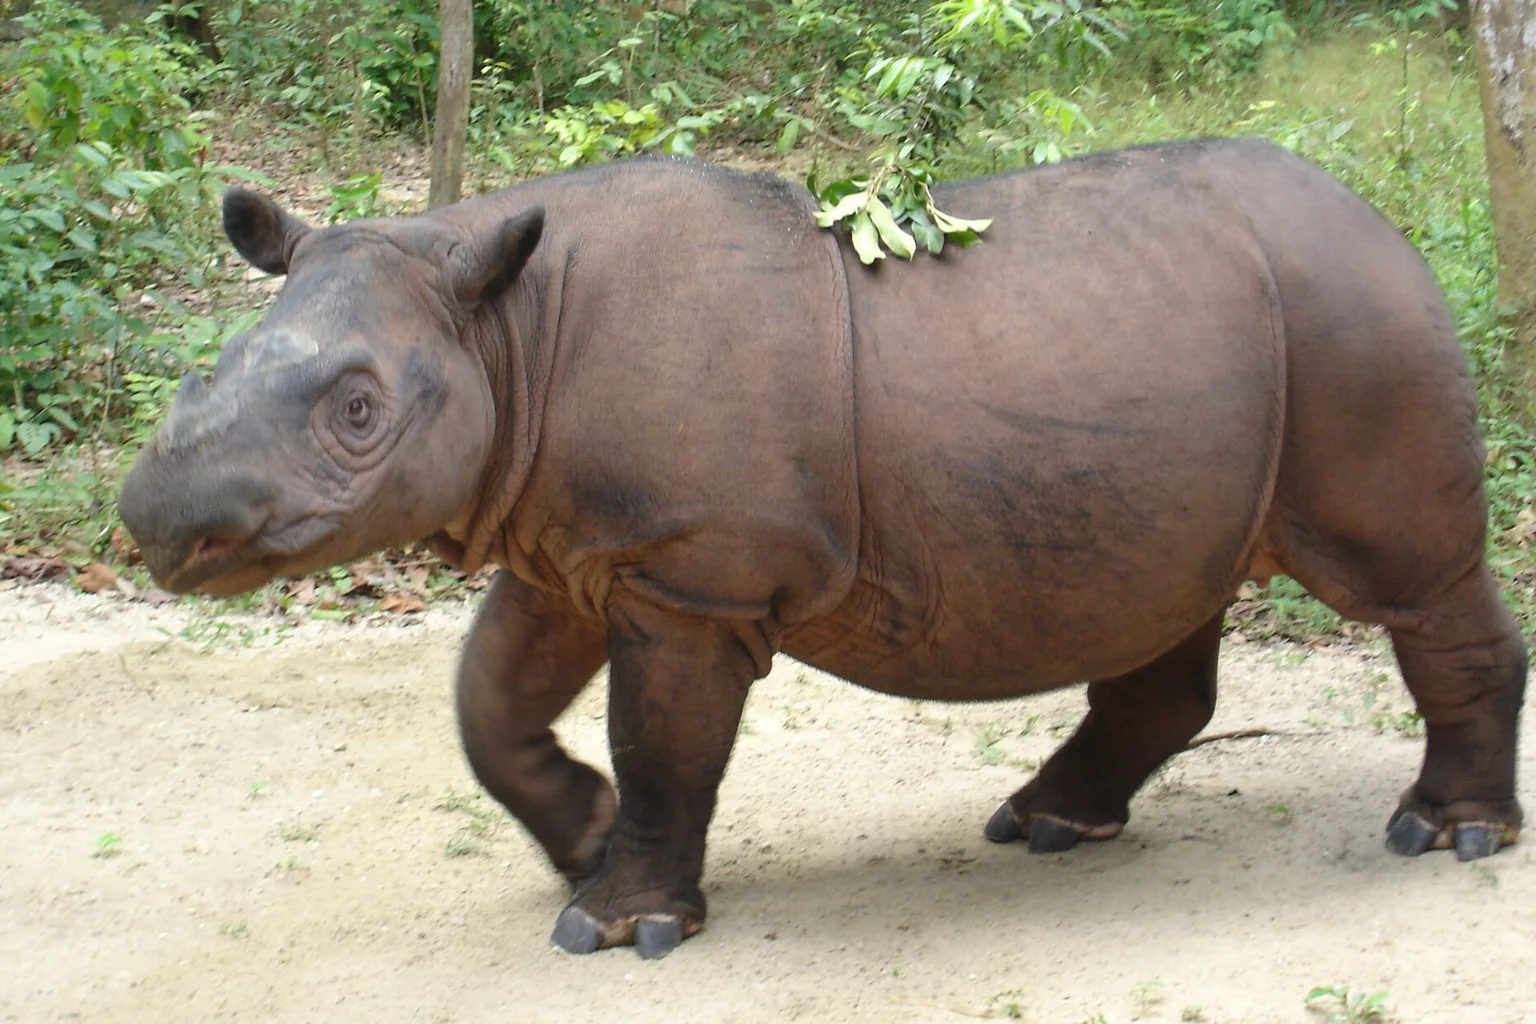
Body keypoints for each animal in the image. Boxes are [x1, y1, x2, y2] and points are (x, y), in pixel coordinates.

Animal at [118, 138, 1525, 959]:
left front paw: (615, 928)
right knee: (1164, 595)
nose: (156, 521)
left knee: (1408, 580)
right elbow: (489, 702)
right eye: (209, 370)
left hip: (1356, 319)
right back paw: (1046, 827)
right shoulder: (575, 541)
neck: (500, 325)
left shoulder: (689, 572)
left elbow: (663, 739)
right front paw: (583, 836)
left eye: (359, 411)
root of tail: (1381, 215)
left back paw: (1444, 837)